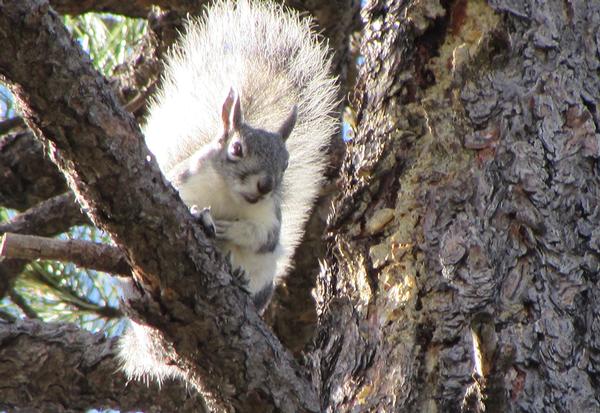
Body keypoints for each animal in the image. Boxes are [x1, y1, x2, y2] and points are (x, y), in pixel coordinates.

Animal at [119, 0, 340, 384]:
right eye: (236, 149)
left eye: (285, 164)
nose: (265, 185)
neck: (229, 196)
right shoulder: (183, 182)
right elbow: (185, 203)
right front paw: (202, 216)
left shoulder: (269, 220)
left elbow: (261, 237)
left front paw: (229, 229)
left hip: (263, 281)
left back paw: (239, 278)